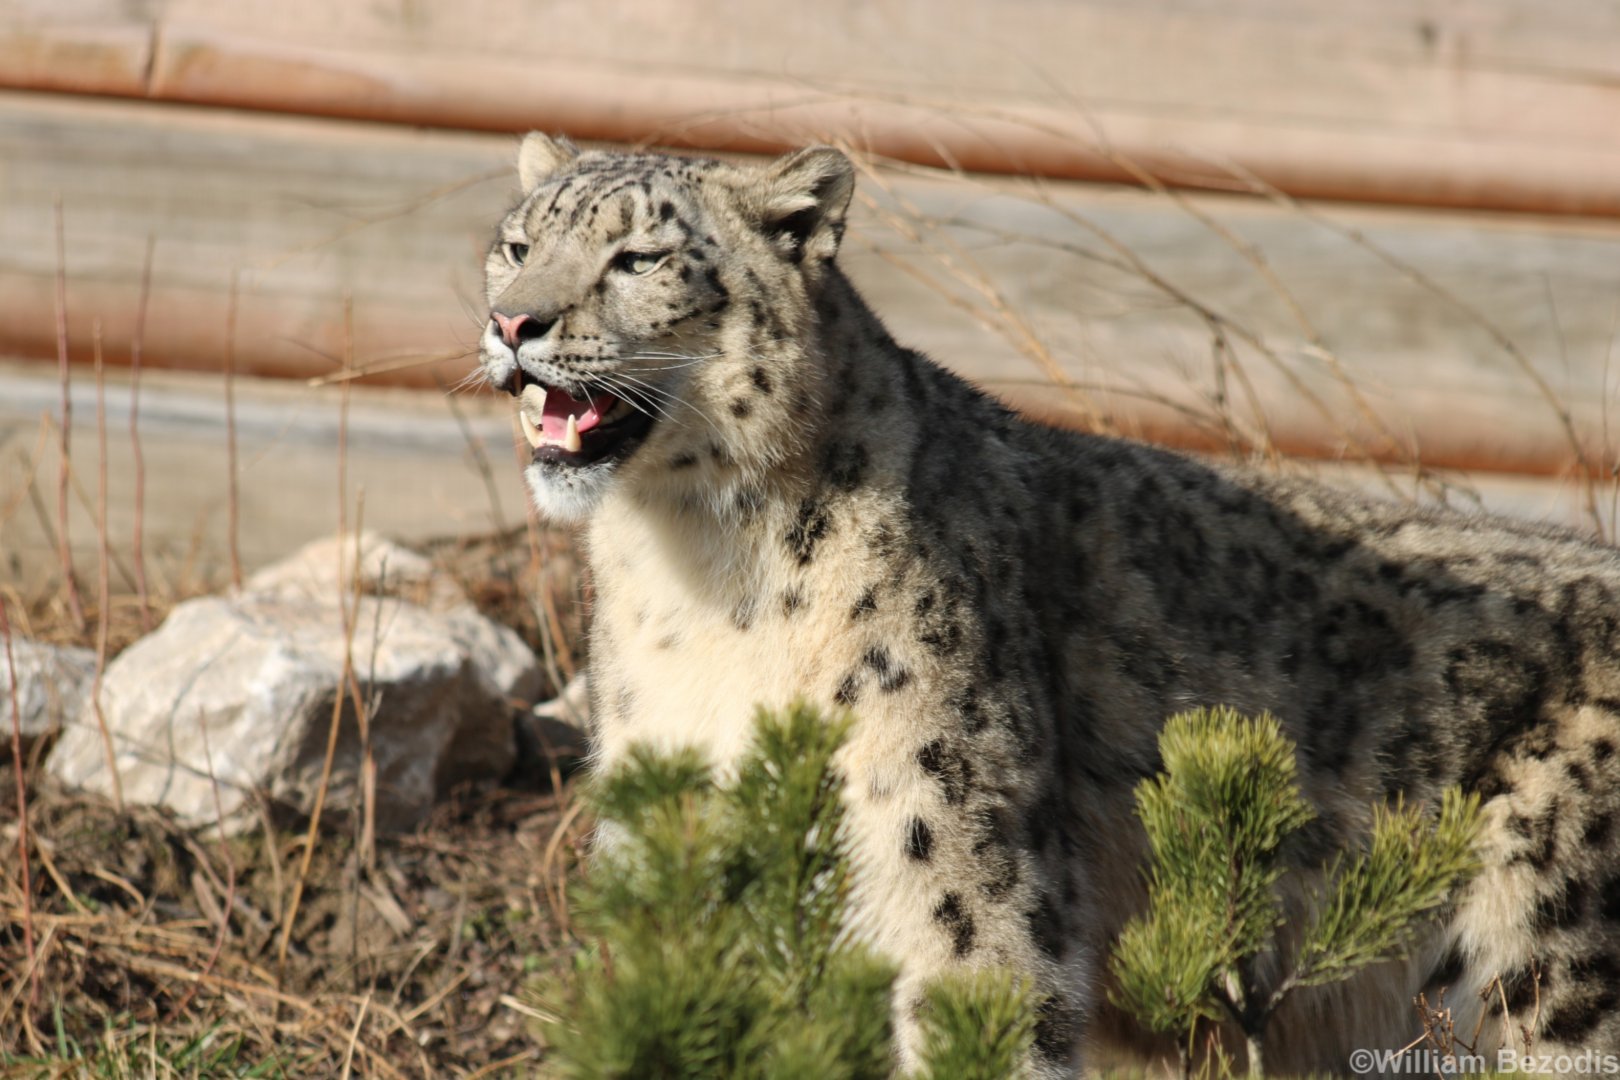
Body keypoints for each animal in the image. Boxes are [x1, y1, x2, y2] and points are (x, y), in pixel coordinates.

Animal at [478, 132, 1620, 1076]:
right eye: (516, 243)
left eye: (639, 259)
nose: (512, 320)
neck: (700, 581)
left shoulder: (952, 875)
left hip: (1564, 973)